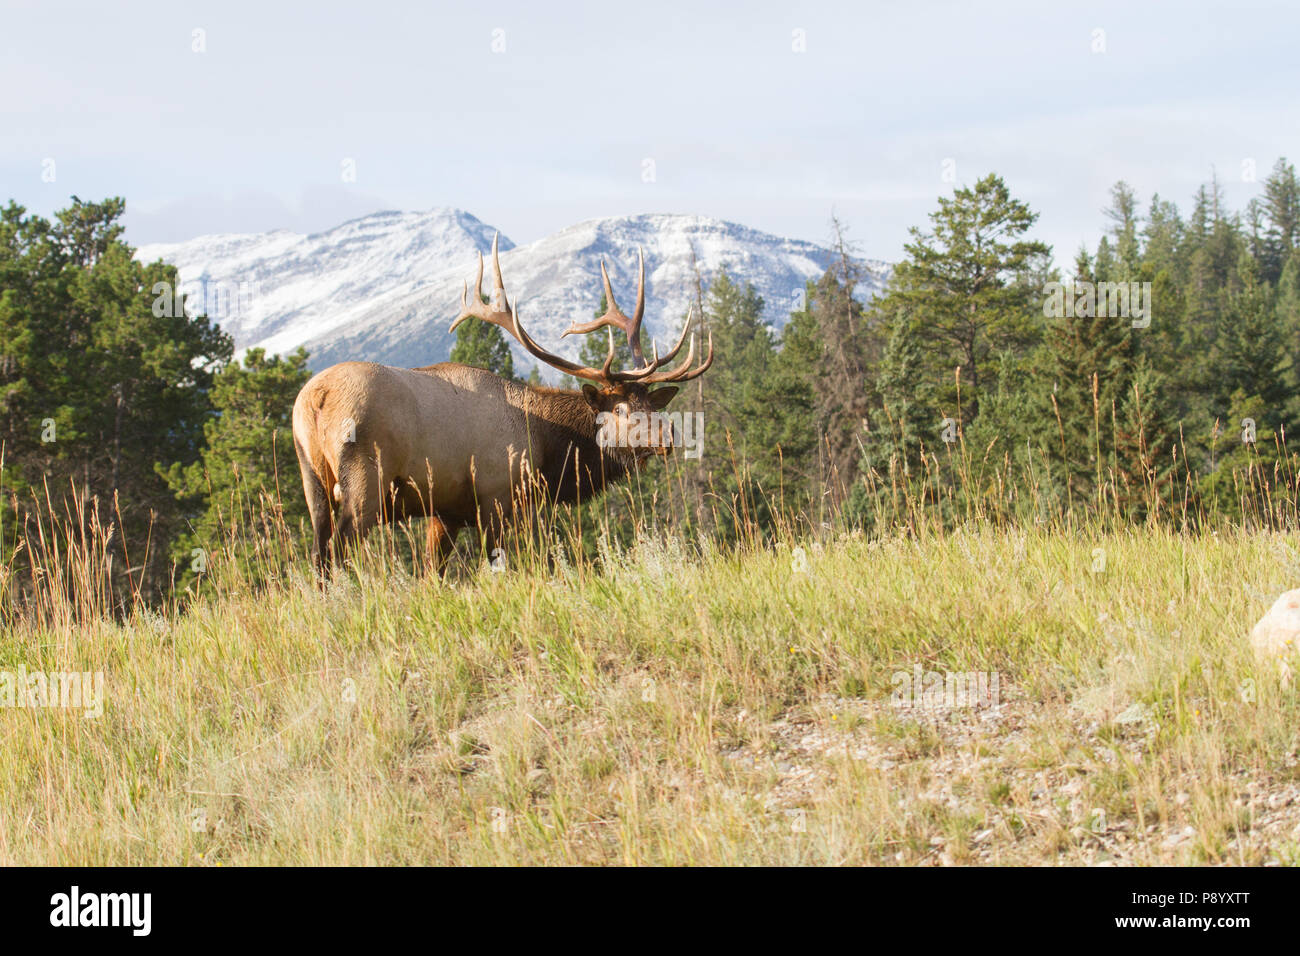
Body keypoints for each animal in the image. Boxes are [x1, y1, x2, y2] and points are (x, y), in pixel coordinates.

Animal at [291, 235, 717, 572]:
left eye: (653, 405)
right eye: (621, 409)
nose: (669, 436)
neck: (546, 448)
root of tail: (315, 399)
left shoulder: (446, 510)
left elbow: (432, 572)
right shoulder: (495, 496)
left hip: (312, 479)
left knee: (319, 553)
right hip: (365, 478)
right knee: (340, 549)